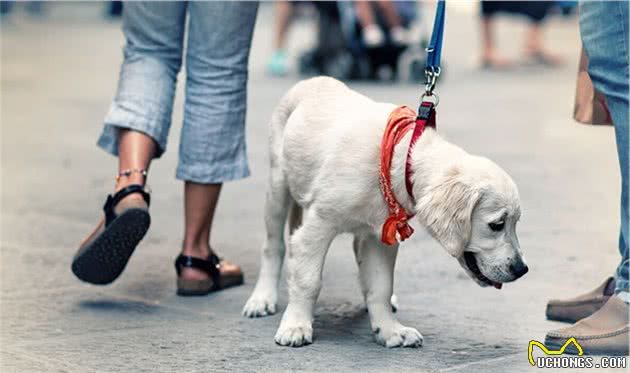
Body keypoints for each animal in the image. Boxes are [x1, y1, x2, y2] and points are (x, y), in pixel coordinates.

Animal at [242, 77, 528, 348]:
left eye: (515, 223)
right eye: (497, 224)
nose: (522, 269)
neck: (398, 159)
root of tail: (311, 81)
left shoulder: (382, 236)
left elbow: (380, 286)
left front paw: (389, 331)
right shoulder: (318, 226)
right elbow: (308, 279)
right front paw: (296, 326)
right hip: (277, 186)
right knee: (273, 245)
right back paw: (262, 298)